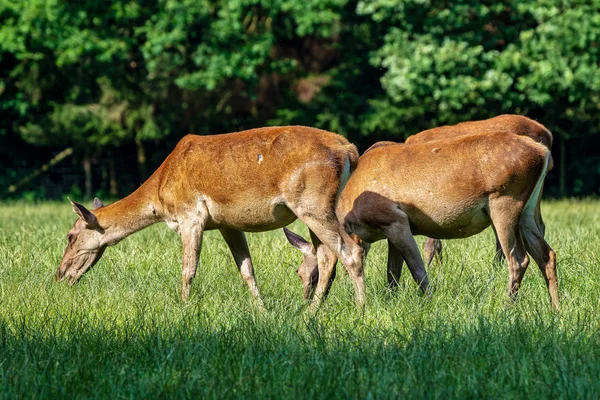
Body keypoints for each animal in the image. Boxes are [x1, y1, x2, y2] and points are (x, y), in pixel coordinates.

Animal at [57, 125, 366, 310]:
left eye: (70, 236)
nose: (60, 275)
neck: (160, 197)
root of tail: (349, 150)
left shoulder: (190, 214)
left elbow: (188, 268)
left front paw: (183, 307)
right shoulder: (227, 224)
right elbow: (247, 270)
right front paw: (262, 310)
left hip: (312, 202)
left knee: (350, 251)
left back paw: (360, 308)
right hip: (321, 206)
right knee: (327, 256)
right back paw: (311, 311)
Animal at [286, 131, 556, 310]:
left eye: (309, 273)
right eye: (298, 273)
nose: (306, 302)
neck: (351, 220)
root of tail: (543, 153)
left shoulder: (394, 219)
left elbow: (417, 270)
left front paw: (428, 302)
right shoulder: (389, 231)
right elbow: (392, 275)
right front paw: (392, 302)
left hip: (505, 203)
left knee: (518, 259)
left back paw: (506, 306)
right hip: (528, 211)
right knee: (546, 254)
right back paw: (556, 309)